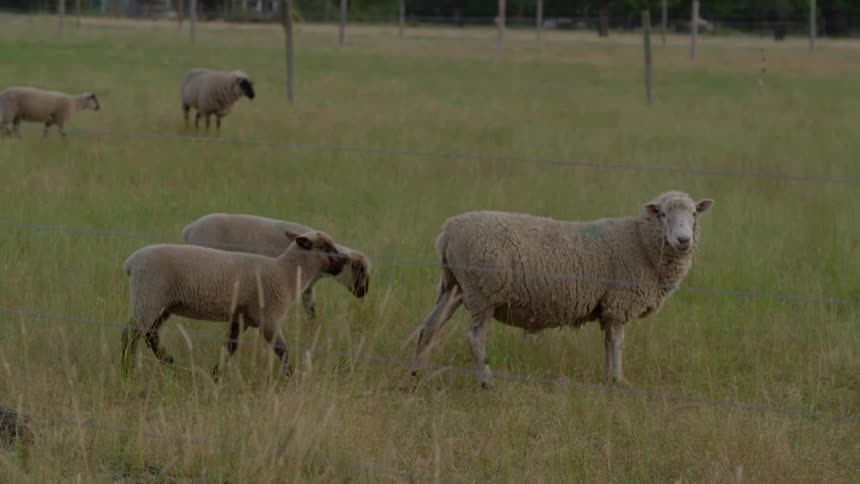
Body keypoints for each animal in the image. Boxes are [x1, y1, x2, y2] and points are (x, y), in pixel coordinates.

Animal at [121, 230, 346, 377]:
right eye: (325, 247)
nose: (344, 260)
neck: (285, 273)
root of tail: (131, 263)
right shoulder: (269, 318)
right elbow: (282, 350)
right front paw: (292, 378)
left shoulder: (241, 318)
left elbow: (230, 347)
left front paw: (216, 375)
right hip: (148, 297)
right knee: (131, 333)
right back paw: (127, 369)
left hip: (161, 304)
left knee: (150, 334)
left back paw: (170, 364)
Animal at [412, 191, 714, 388]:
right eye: (662, 214)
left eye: (694, 214)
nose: (683, 240)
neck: (640, 243)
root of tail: (448, 230)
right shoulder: (619, 303)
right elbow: (617, 343)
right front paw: (619, 379)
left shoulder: (607, 307)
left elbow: (608, 342)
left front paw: (607, 377)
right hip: (483, 291)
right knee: (475, 338)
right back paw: (487, 382)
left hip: (455, 285)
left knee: (430, 326)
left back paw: (417, 374)